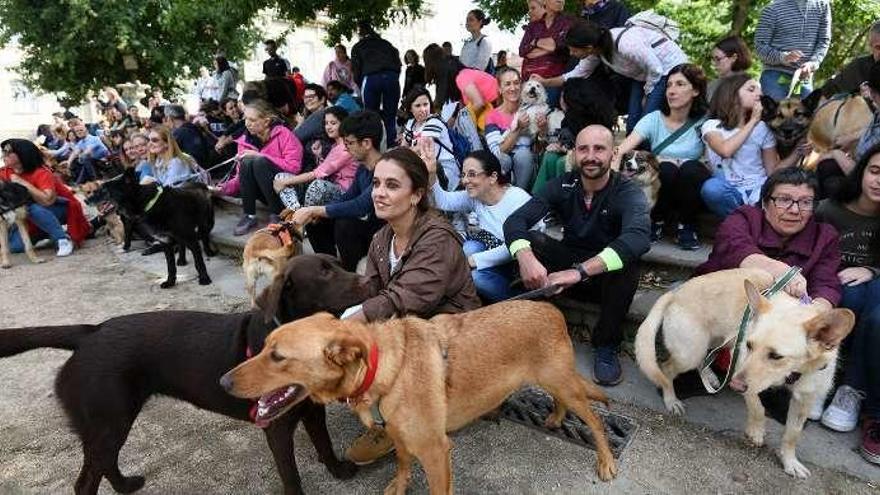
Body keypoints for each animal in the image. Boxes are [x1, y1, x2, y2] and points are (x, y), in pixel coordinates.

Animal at [0, 256, 370, 495]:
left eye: (338, 262)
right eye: (324, 273)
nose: (369, 279)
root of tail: (90, 332)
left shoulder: (312, 411)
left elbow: (324, 445)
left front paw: (338, 471)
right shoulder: (275, 426)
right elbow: (291, 476)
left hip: (108, 423)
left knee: (103, 464)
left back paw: (126, 486)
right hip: (109, 420)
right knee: (87, 479)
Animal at [222, 300, 620, 494]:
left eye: (277, 357)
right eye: (265, 347)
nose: (223, 381)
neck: (384, 366)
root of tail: (553, 309)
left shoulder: (435, 450)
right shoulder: (399, 434)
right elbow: (401, 462)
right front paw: (400, 485)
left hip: (564, 383)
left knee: (595, 420)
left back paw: (605, 460)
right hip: (552, 382)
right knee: (563, 401)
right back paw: (555, 417)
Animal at [636, 270, 856, 478]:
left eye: (776, 356)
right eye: (750, 345)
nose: (734, 385)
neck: (794, 373)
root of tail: (676, 293)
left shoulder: (805, 400)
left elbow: (792, 435)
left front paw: (790, 462)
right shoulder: (740, 364)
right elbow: (757, 407)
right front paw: (756, 431)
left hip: (717, 340)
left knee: (704, 359)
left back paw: (710, 377)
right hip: (691, 352)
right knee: (666, 369)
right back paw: (671, 400)